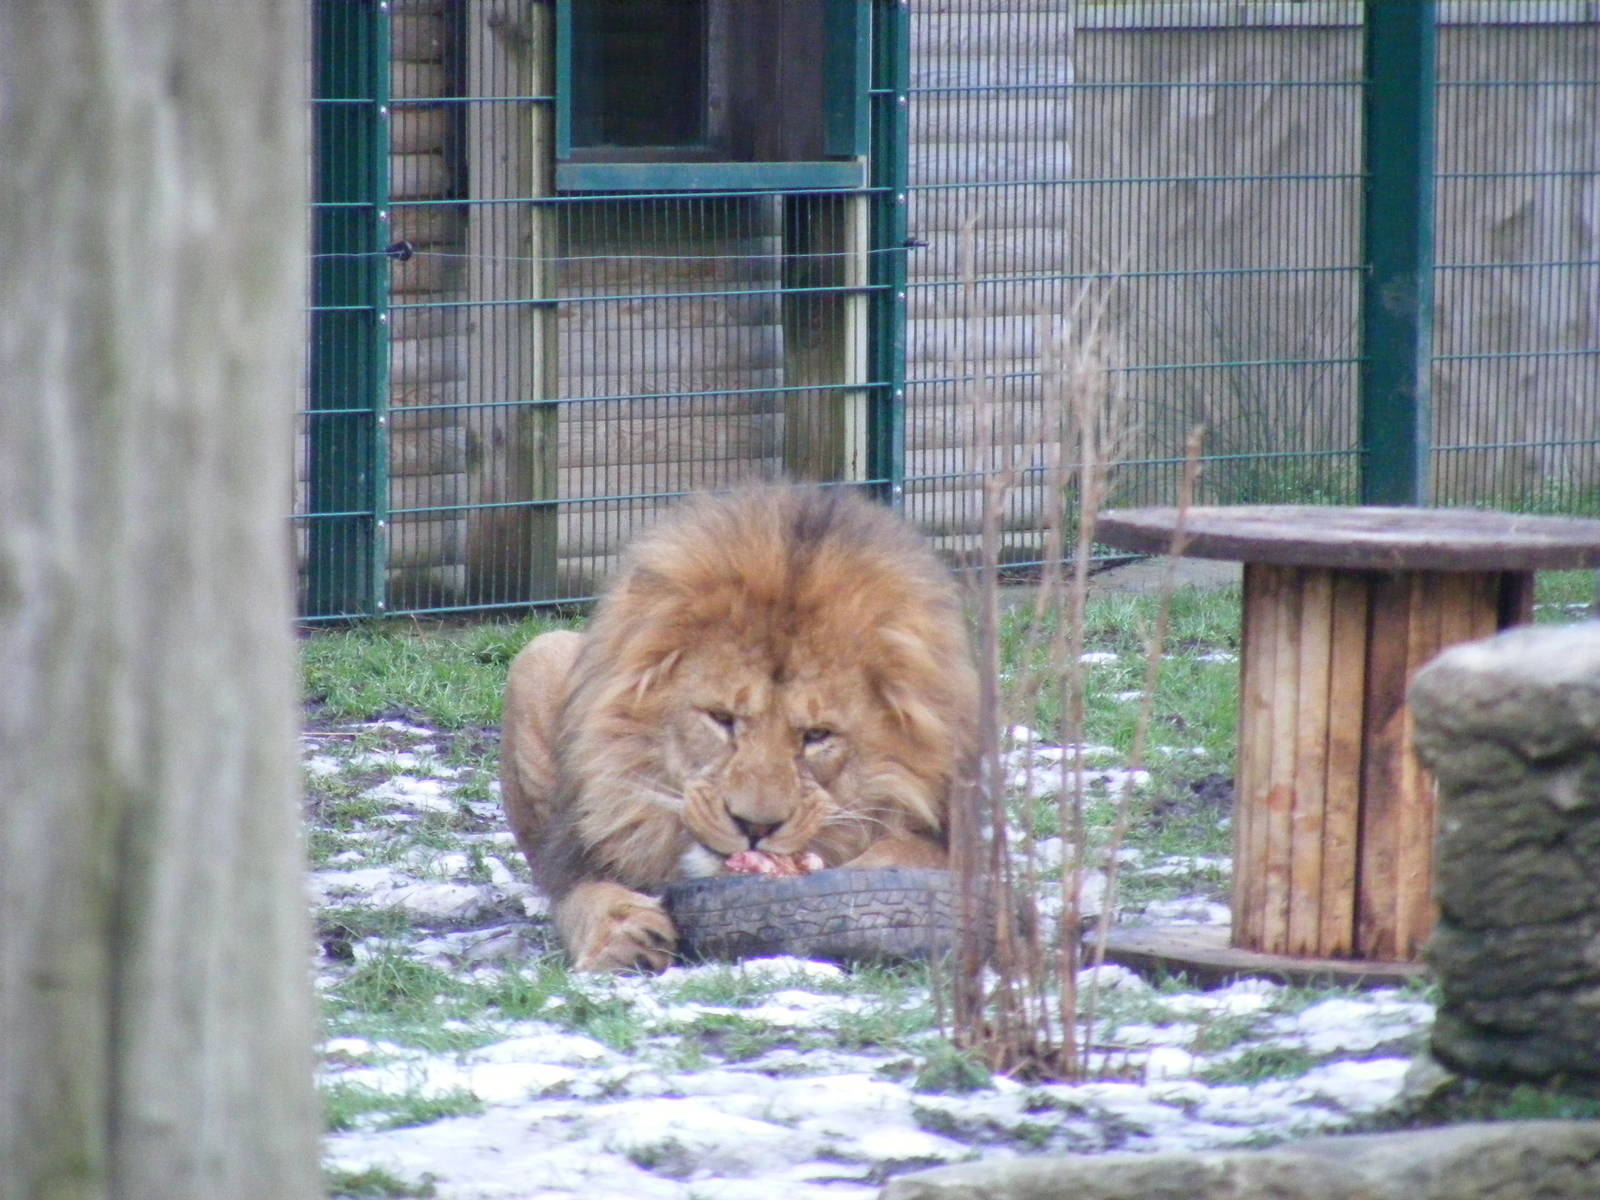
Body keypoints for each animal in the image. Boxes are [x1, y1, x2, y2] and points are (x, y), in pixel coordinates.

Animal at [500, 484, 979, 971]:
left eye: (816, 736)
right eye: (722, 719)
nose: (754, 827)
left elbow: (907, 855)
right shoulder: (579, 850)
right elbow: (581, 895)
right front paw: (623, 933)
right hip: (537, 655)